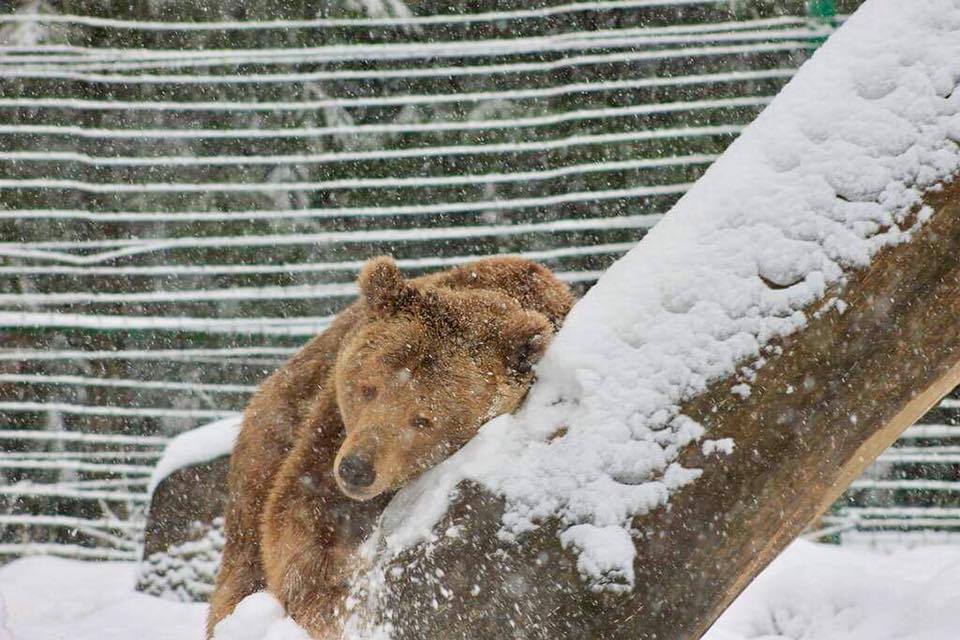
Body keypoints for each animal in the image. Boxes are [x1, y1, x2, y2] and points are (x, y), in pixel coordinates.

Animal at [206, 258, 572, 636]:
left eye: (423, 419)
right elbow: (302, 524)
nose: (356, 468)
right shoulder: (330, 432)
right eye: (369, 388)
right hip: (270, 438)